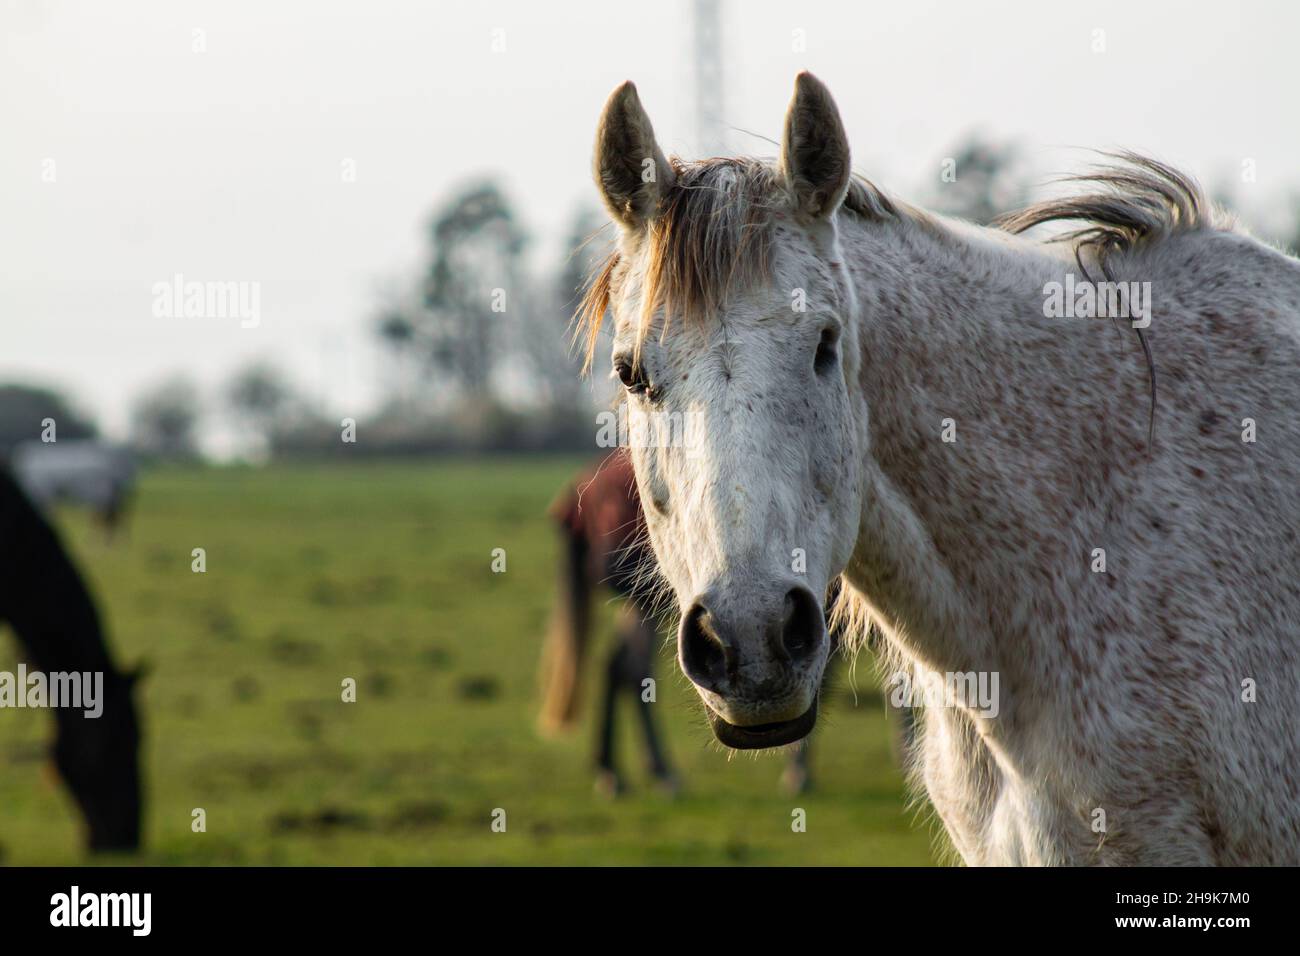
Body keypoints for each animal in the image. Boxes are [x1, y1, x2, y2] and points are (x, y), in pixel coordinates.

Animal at [538, 451, 839, 795]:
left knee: (618, 666)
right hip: (647, 599)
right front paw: (798, 769)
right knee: (633, 668)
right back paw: (657, 771)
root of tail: (579, 496)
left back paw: (612, 769)